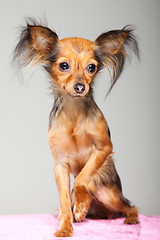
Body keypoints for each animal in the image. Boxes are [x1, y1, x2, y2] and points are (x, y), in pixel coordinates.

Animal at [13, 19, 139, 237]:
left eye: (91, 67)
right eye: (64, 65)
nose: (80, 87)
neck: (74, 111)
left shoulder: (104, 148)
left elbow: (82, 178)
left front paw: (80, 205)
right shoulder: (60, 165)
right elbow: (64, 201)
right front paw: (65, 227)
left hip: (108, 193)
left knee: (129, 206)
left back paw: (127, 218)